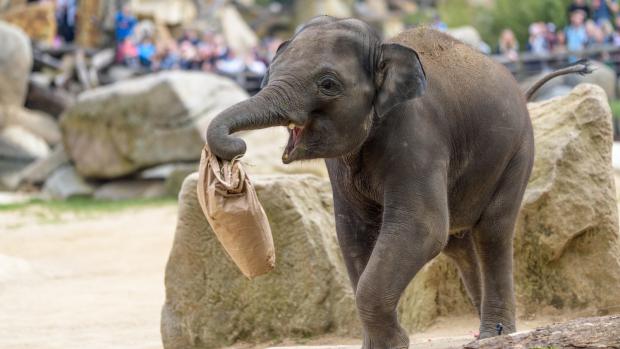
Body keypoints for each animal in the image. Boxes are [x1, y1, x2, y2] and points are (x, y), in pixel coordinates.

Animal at [207, 14, 592, 346]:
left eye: (328, 84)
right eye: (268, 74)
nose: (236, 149)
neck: (382, 48)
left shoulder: (418, 134)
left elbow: (422, 227)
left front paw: (393, 342)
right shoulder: (342, 166)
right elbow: (352, 232)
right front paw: (382, 343)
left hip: (517, 152)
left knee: (492, 230)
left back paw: (495, 333)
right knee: (457, 243)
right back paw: (482, 330)